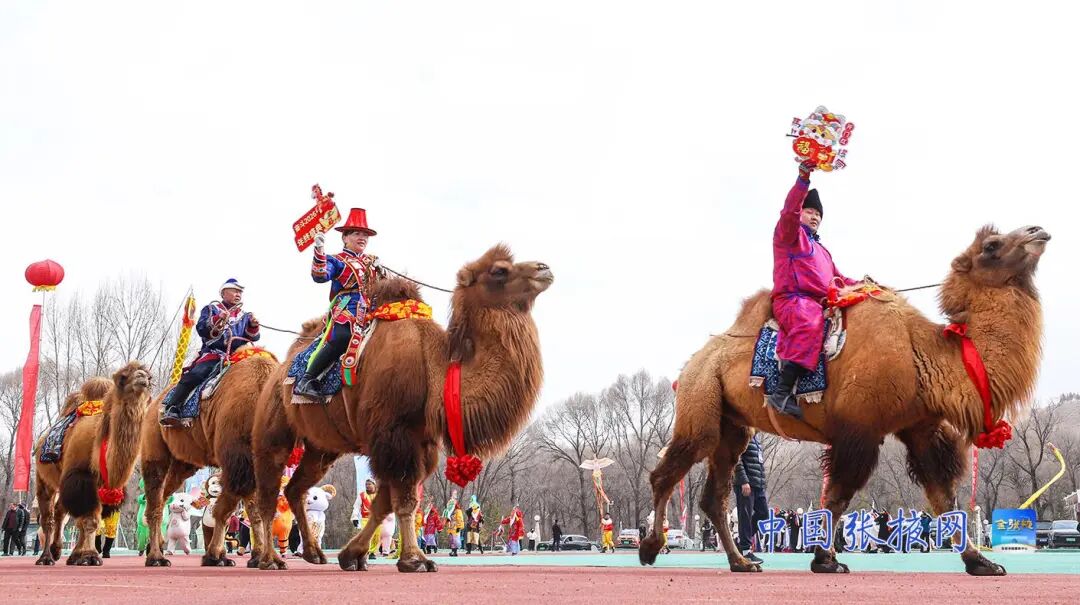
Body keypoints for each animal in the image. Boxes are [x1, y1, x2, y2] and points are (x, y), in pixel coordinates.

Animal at [33, 362, 153, 566]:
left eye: (150, 377)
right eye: (122, 377)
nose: (142, 377)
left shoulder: (102, 487)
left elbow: (89, 521)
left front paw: (78, 556)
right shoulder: (80, 478)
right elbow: (88, 520)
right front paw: (89, 555)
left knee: (60, 512)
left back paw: (57, 551)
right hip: (44, 480)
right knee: (47, 518)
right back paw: (45, 557)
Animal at [139, 351, 277, 567]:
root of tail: (154, 404)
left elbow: (253, 511)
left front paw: (259, 558)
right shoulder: (237, 460)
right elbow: (225, 511)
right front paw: (214, 556)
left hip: (184, 464)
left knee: (163, 496)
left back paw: (157, 546)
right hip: (154, 446)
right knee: (154, 500)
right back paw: (156, 558)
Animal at [251, 244, 552, 572]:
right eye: (499, 270)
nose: (544, 269)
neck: (433, 370)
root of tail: (279, 371)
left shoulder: (419, 442)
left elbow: (385, 503)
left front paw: (351, 556)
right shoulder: (394, 435)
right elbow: (403, 501)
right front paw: (414, 559)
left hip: (321, 448)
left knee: (295, 488)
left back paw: (314, 553)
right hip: (274, 428)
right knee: (268, 492)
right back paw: (270, 559)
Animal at [642, 225, 1050, 576]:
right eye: (992, 246)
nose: (1038, 231)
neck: (919, 352)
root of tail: (693, 362)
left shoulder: (920, 426)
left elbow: (943, 497)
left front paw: (982, 563)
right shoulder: (859, 431)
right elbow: (838, 496)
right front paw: (826, 560)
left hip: (733, 426)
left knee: (714, 495)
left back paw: (741, 562)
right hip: (700, 403)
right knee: (667, 472)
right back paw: (651, 548)